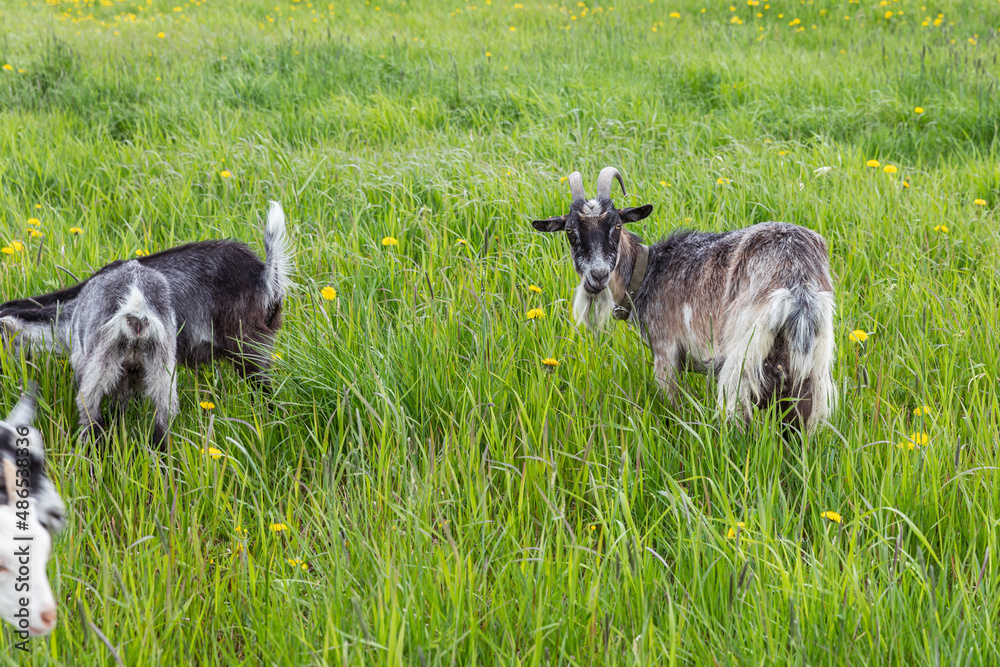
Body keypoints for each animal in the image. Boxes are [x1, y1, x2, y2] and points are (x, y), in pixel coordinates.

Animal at [532, 166, 836, 428]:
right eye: (570, 230)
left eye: (617, 224)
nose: (597, 276)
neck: (649, 271)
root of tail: (798, 280)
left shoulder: (666, 351)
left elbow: (672, 406)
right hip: (808, 364)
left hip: (744, 356)